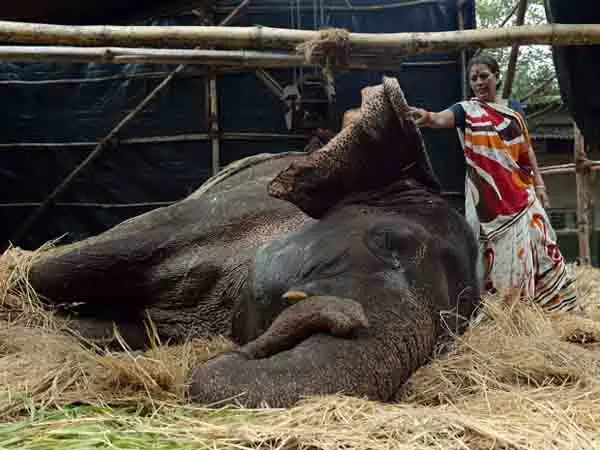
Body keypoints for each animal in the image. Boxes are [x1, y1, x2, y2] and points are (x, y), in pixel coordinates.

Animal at [25, 76, 480, 408]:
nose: (345, 315)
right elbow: (50, 271)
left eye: (451, 335)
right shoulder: (220, 213)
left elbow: (133, 331)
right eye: (386, 240)